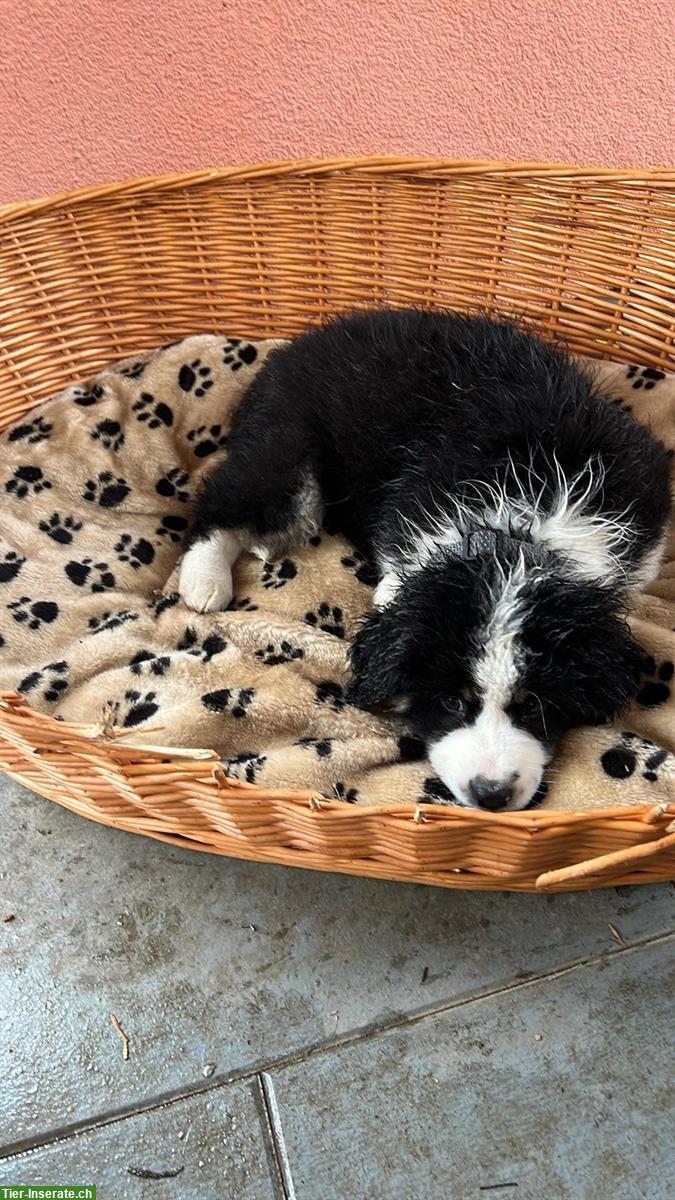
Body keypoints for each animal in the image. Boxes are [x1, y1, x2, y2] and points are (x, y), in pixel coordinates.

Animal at [176, 309, 667, 816]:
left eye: (533, 704)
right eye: (452, 702)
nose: (491, 794)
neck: (518, 538)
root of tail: (303, 342)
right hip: (287, 445)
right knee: (226, 501)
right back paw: (204, 582)